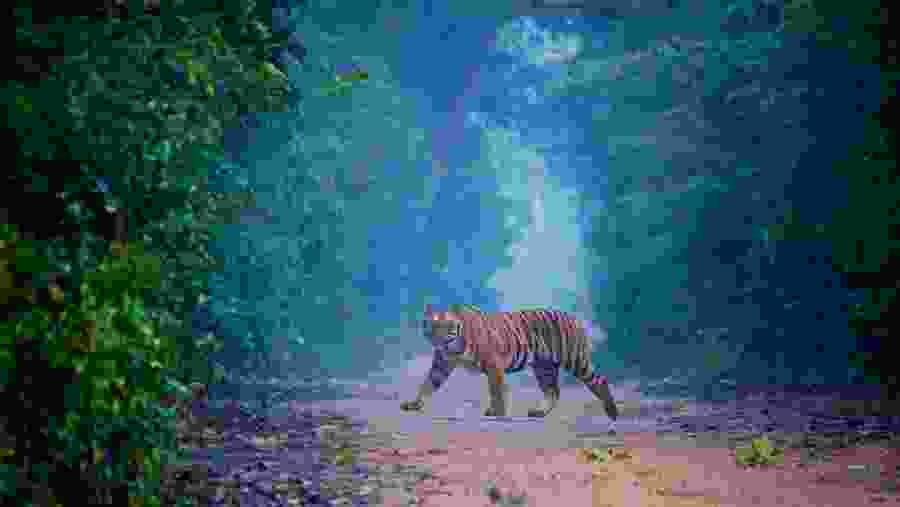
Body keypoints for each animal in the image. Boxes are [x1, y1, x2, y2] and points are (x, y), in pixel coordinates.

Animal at [400, 304, 619, 424]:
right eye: (433, 325)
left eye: (446, 326)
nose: (437, 339)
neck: (452, 346)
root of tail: (574, 317)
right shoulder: (442, 363)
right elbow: (427, 384)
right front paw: (414, 404)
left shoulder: (493, 364)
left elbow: (497, 390)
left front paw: (498, 413)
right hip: (544, 367)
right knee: (553, 391)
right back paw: (539, 412)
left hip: (575, 360)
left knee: (599, 380)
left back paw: (612, 412)